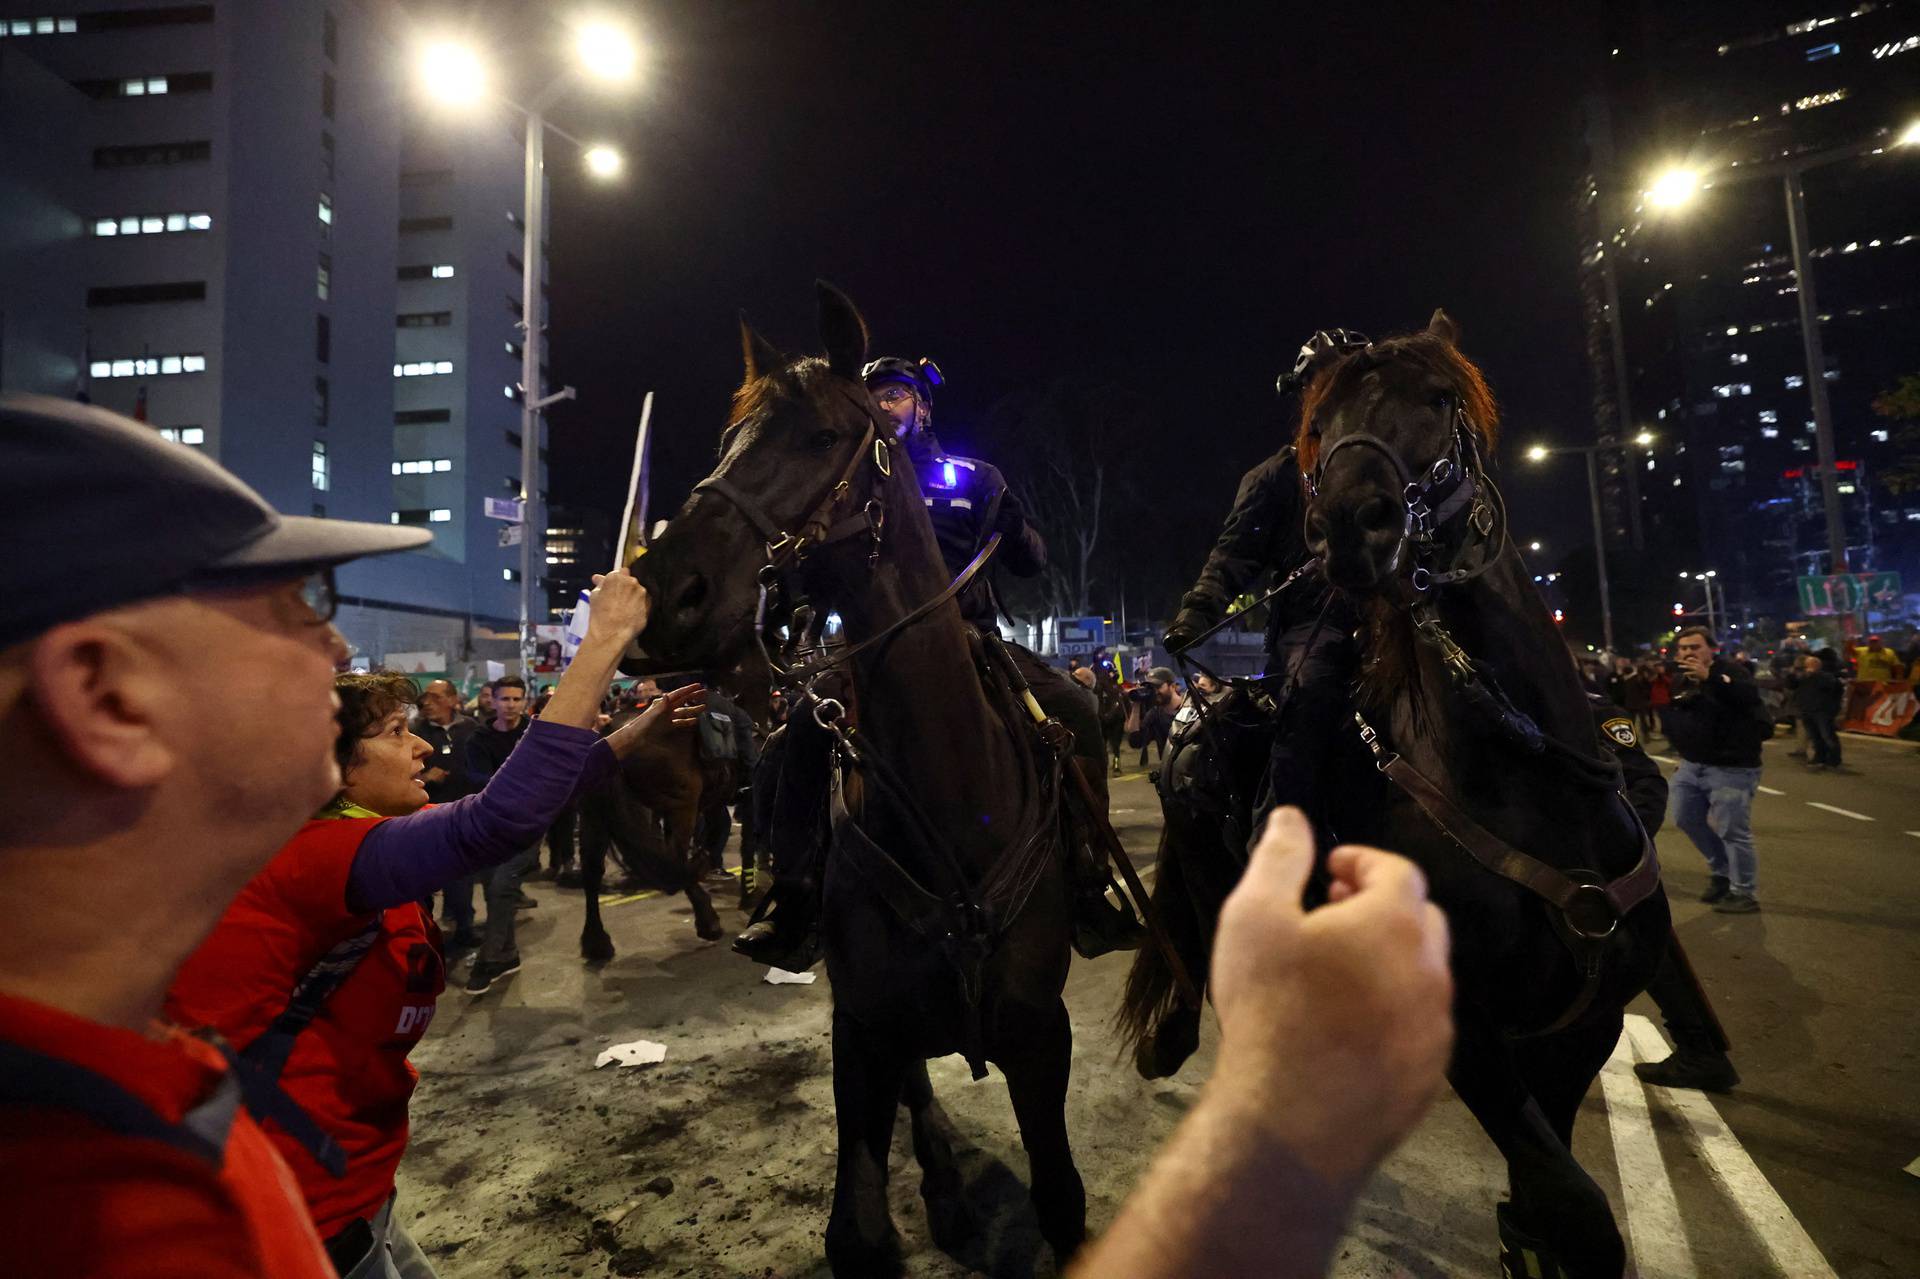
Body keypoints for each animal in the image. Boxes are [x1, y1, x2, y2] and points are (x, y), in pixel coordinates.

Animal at [625, 284, 1090, 1267]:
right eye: (729, 442)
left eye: (822, 436)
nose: (662, 595)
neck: (956, 805)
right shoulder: (863, 1030)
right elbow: (858, 1223)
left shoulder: (1043, 1035)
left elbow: (1062, 1199)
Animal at [1121, 311, 1674, 1275]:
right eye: (1321, 424)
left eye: (1440, 397)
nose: (1350, 524)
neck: (1531, 788)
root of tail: (1200, 711)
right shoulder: (1471, 1034)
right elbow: (1579, 1209)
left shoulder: (1582, 1027)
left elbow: (1555, 1181)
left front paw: (1522, 1232)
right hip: (1202, 865)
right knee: (1192, 943)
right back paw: (1176, 1038)